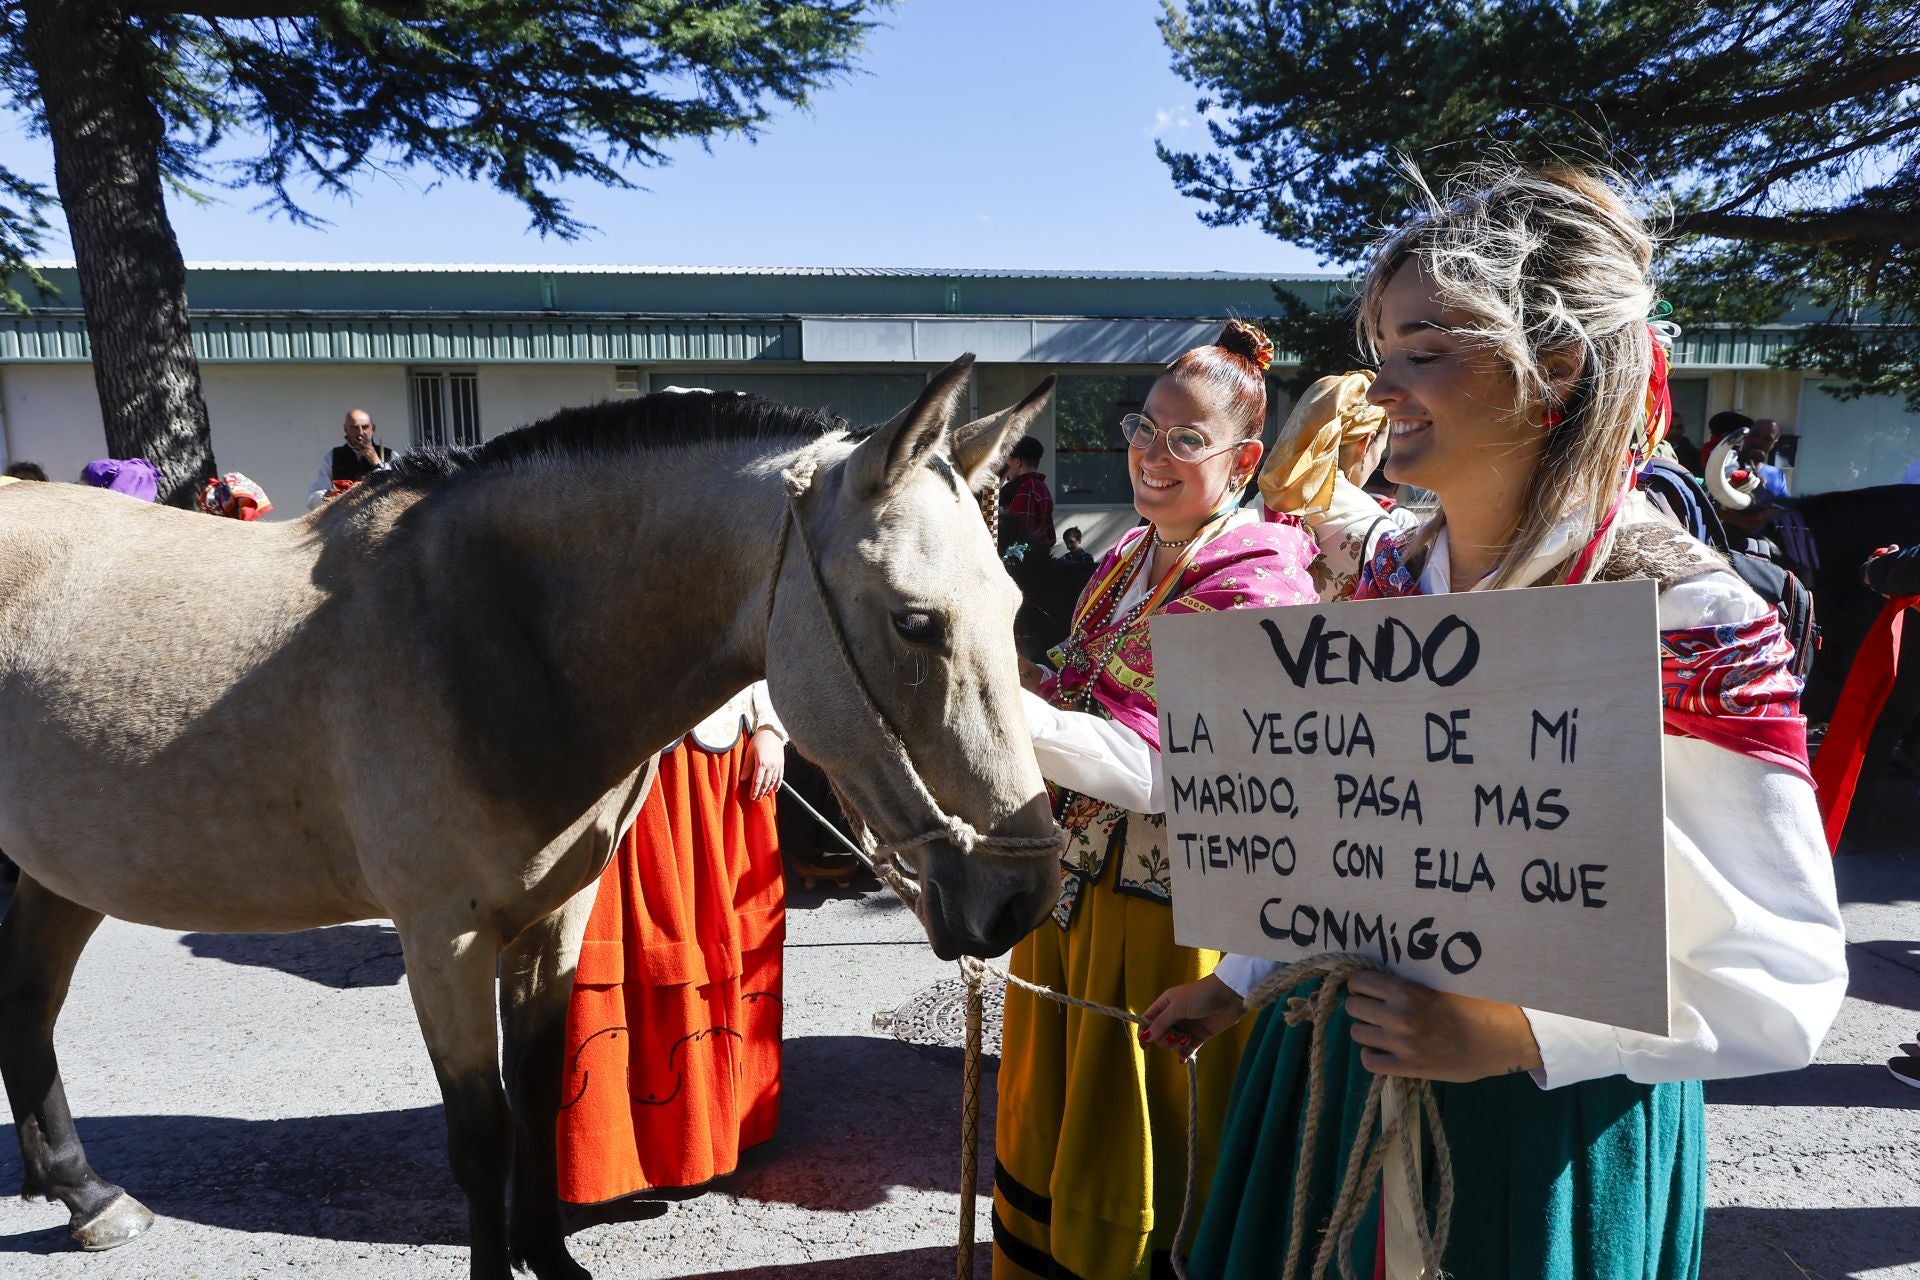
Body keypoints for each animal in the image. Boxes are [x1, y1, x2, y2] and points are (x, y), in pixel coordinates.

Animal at [0, 355, 1059, 1274]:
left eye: (1015, 603)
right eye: (914, 621)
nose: (1021, 894)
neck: (491, 630)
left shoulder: (555, 920)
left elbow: (540, 1101)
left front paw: (549, 1257)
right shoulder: (444, 942)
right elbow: (480, 1139)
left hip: (59, 870)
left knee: (30, 1004)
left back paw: (89, 1196)